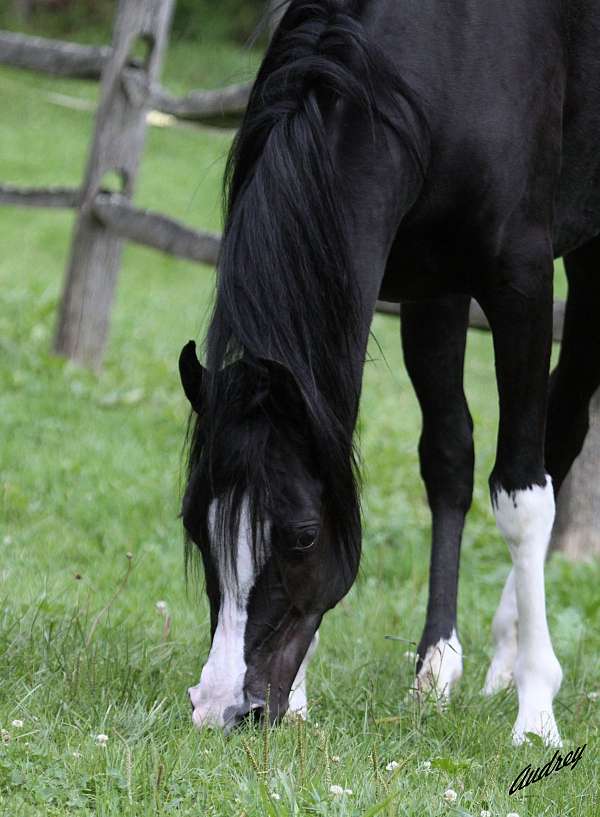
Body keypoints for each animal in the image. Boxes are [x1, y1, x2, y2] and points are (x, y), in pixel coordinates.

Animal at [178, 0, 600, 744]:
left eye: (301, 535)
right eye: (196, 524)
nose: (221, 707)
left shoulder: (520, 278)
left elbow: (520, 496)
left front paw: (537, 715)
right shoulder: (427, 288)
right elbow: (448, 459)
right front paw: (432, 665)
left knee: (562, 430)